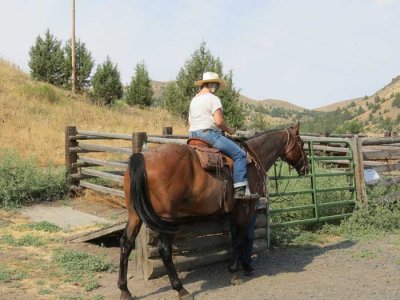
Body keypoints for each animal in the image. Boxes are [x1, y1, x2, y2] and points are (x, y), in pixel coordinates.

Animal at [117, 122, 310, 300]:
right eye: (301, 143)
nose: (306, 168)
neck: (253, 156)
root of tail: (143, 157)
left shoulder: (234, 211)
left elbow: (236, 237)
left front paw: (243, 266)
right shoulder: (246, 208)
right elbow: (241, 237)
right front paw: (235, 271)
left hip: (134, 215)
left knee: (126, 244)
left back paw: (125, 290)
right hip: (167, 218)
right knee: (164, 250)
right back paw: (181, 289)